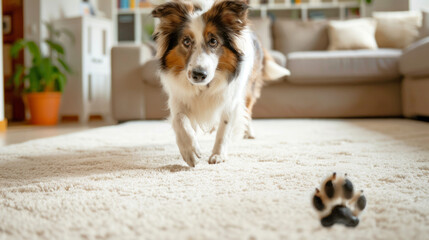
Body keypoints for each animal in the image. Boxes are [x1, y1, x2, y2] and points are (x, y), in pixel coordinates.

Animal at [152, 0, 290, 167]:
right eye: (186, 41)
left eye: (213, 41)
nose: (199, 74)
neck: (204, 87)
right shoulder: (178, 97)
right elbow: (180, 120)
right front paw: (189, 150)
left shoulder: (231, 99)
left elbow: (224, 129)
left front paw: (218, 155)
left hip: (249, 88)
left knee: (247, 110)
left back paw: (248, 131)